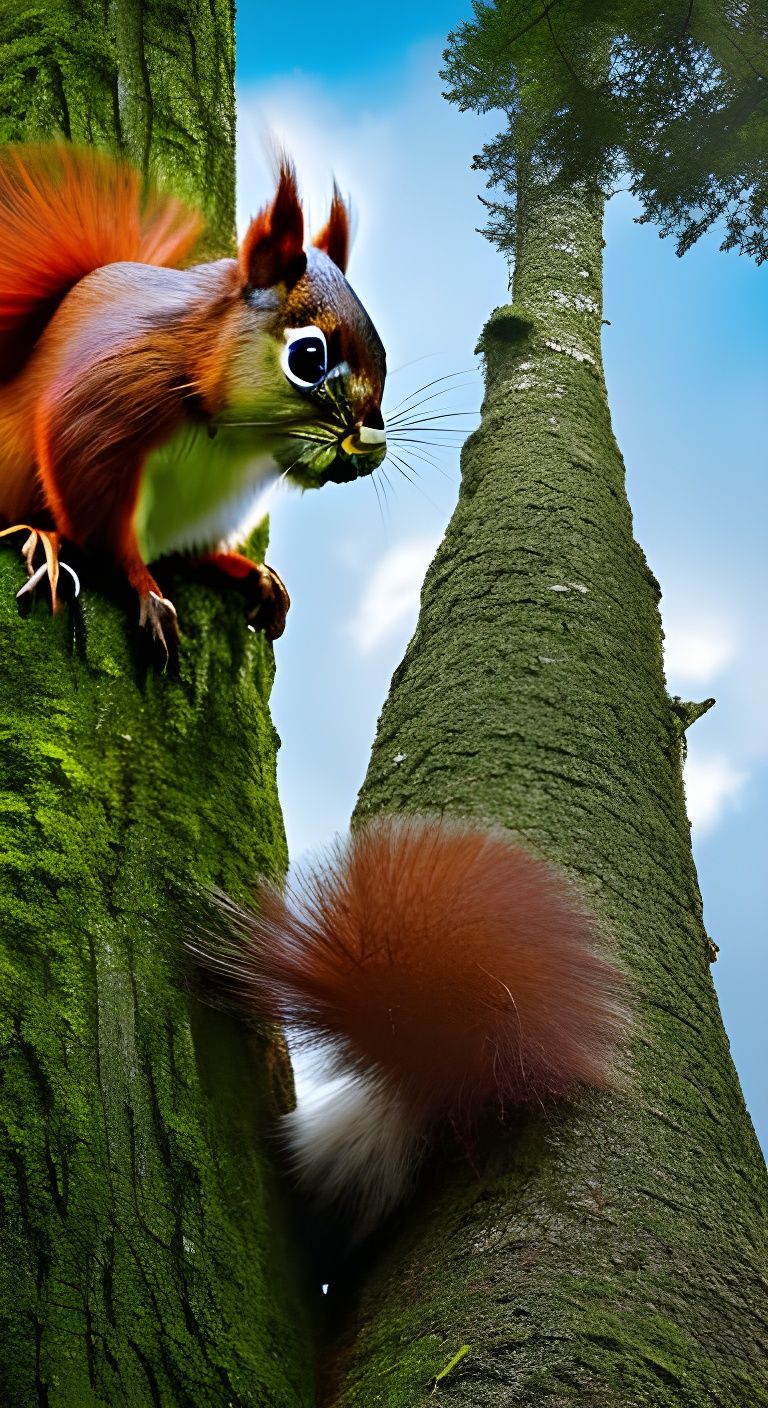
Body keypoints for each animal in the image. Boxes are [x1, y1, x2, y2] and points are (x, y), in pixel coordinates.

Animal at [0, 142, 387, 648]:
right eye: (307, 358)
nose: (370, 445)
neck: (239, 435)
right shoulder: (115, 395)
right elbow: (98, 520)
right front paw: (144, 588)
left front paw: (249, 571)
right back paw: (41, 537)